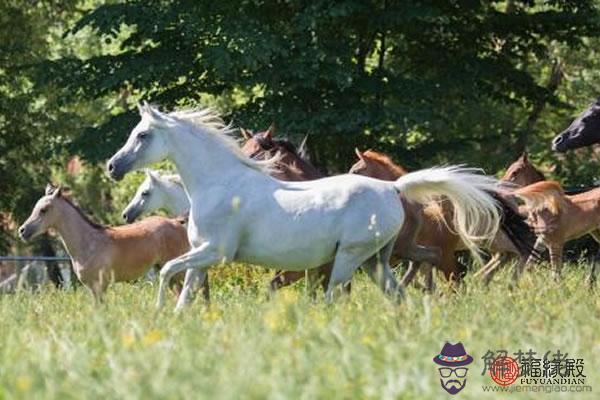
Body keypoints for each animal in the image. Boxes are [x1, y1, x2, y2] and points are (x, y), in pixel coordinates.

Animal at [17, 186, 209, 302]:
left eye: (44, 210)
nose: (23, 231)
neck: (88, 242)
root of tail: (176, 222)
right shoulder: (92, 288)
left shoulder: (101, 285)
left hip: (178, 268)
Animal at [108, 102, 502, 310]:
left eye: (143, 134)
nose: (113, 167)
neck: (219, 184)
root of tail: (392, 187)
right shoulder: (201, 256)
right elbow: (185, 291)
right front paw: (172, 318)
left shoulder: (214, 253)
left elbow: (164, 271)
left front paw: (157, 309)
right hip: (375, 260)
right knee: (398, 293)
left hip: (349, 258)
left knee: (333, 297)